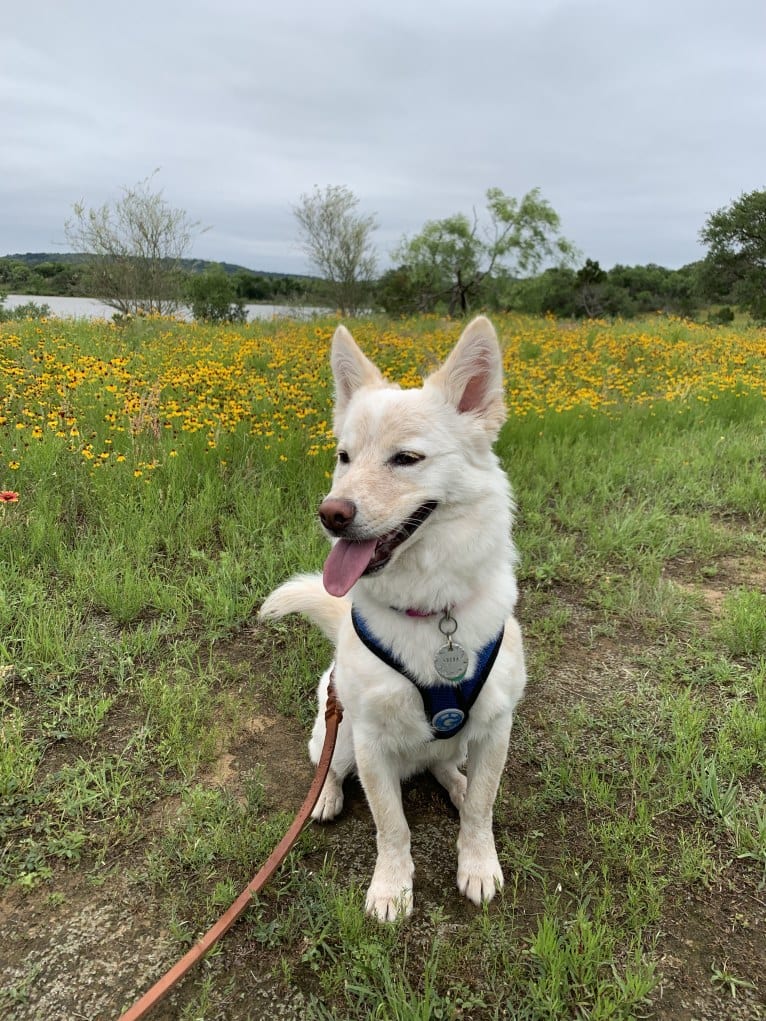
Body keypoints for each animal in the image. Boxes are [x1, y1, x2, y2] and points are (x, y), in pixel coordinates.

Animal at [261, 314, 527, 922]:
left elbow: (482, 808)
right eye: (343, 457)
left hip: (457, 742)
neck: (429, 610)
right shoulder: (372, 744)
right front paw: (391, 888)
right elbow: (391, 826)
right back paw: (327, 796)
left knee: (447, 769)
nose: (330, 515)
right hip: (338, 736)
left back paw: (454, 782)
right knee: (327, 766)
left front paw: (478, 864)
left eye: (406, 458)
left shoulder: (495, 728)